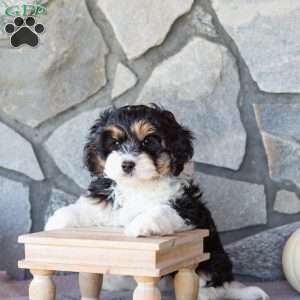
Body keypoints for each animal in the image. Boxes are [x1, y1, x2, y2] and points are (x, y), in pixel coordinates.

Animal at [45, 105, 268, 300]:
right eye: (115, 143)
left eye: (148, 141)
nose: (127, 164)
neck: (138, 185)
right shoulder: (107, 200)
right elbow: (88, 208)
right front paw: (56, 221)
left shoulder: (186, 209)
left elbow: (161, 211)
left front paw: (140, 224)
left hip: (213, 259)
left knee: (212, 284)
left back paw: (206, 294)